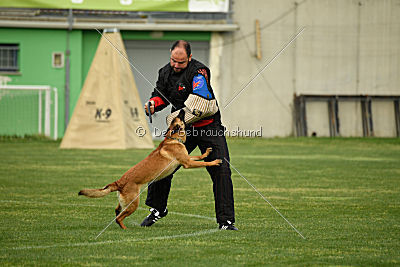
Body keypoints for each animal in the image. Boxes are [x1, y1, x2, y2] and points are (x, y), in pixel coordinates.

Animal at [78, 110, 222, 230]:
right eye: (179, 117)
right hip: (133, 204)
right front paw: (214, 162)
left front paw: (206, 153)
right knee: (119, 218)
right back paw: (125, 229)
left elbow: (198, 157)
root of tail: (119, 182)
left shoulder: (186, 158)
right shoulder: (187, 163)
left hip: (125, 203)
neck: (173, 138)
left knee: (117, 211)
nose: (181, 109)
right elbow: (204, 162)